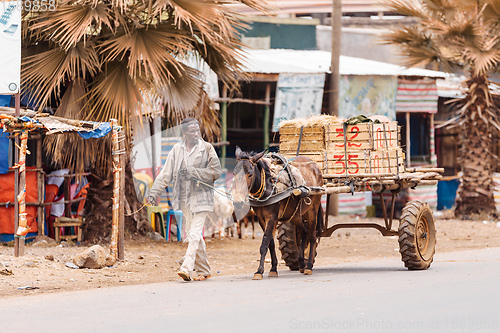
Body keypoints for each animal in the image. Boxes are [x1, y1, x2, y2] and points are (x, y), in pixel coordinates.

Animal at [233, 147, 324, 278]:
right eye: (234, 173)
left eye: (250, 174)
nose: (238, 202)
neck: (268, 186)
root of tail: (314, 165)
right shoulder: (261, 219)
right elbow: (270, 243)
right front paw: (273, 269)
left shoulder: (272, 217)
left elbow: (264, 243)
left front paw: (259, 271)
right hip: (296, 214)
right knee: (304, 231)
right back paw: (301, 263)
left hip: (313, 209)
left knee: (312, 236)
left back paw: (308, 266)